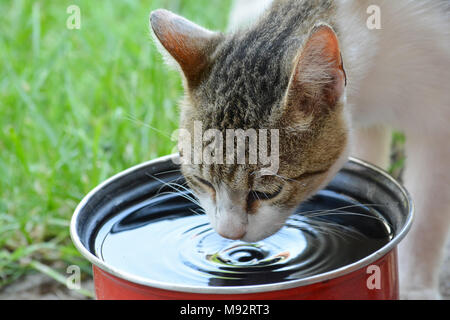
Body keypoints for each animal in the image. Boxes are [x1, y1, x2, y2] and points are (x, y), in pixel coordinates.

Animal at [151, 0, 450, 300]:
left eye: (266, 193)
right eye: (202, 182)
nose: (229, 235)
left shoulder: (436, 121)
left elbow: (427, 220)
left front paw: (415, 286)